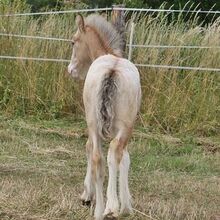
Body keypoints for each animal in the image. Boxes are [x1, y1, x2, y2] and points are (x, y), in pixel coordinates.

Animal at [68, 14, 142, 220]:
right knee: (110, 154)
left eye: (73, 42)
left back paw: (102, 210)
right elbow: (125, 159)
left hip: (95, 125)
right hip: (121, 127)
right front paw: (126, 205)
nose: (70, 70)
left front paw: (88, 195)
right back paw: (110, 207)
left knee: (98, 157)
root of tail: (112, 70)